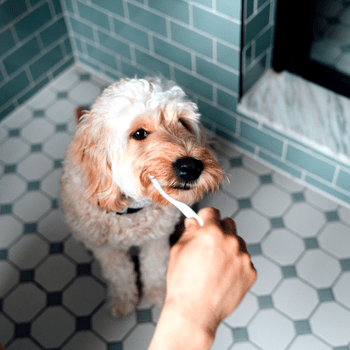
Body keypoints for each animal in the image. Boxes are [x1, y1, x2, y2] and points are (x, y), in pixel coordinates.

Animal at [60, 76, 224, 318]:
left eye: (183, 123)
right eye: (139, 134)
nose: (192, 167)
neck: (132, 213)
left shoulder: (156, 240)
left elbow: (155, 268)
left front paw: (159, 295)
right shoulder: (107, 249)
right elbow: (119, 274)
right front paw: (124, 301)